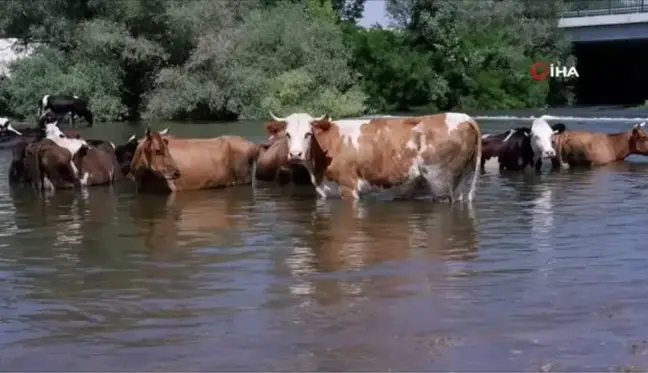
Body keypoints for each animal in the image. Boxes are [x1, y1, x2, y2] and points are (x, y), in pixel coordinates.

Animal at [264, 112, 480, 202]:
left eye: (308, 134)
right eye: (287, 134)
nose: (295, 154)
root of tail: (465, 117)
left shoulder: (348, 187)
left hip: (440, 181)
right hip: (460, 178)